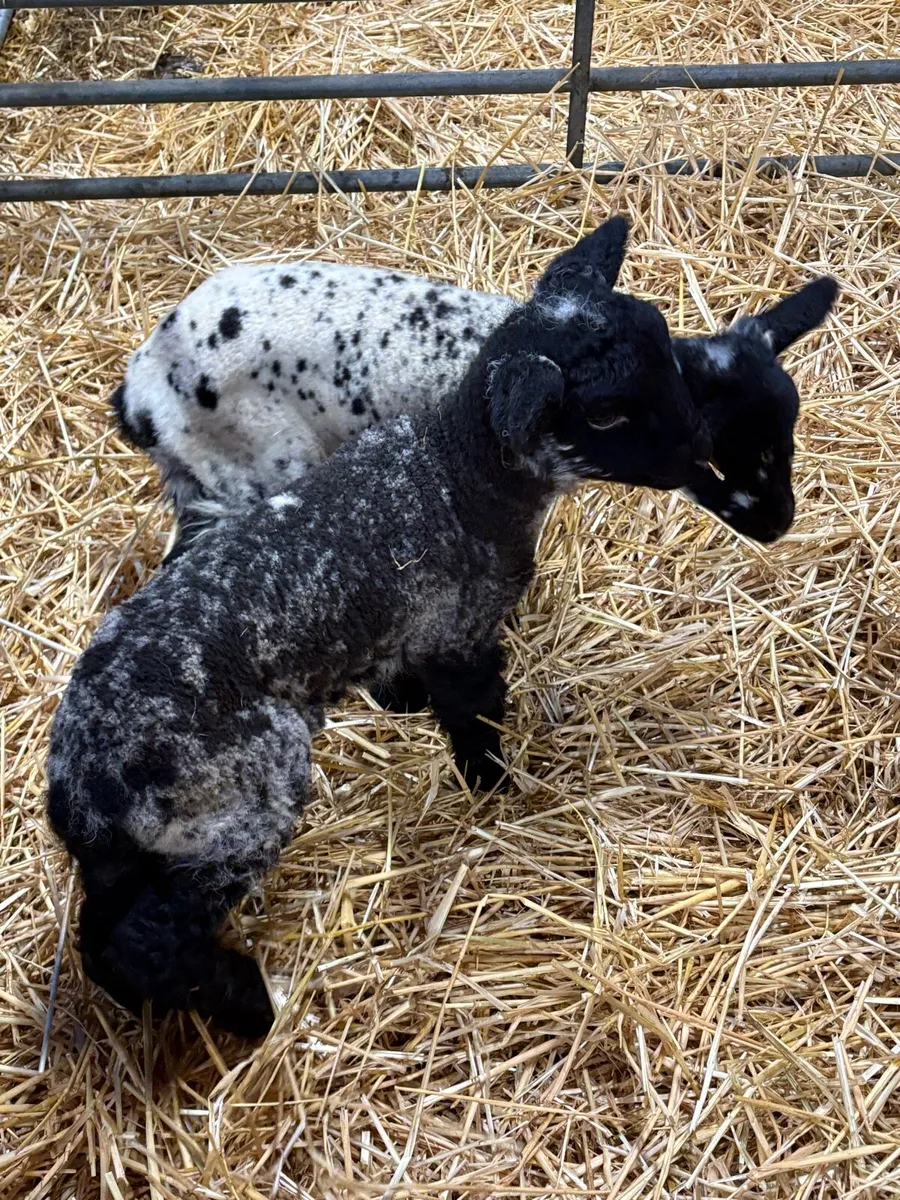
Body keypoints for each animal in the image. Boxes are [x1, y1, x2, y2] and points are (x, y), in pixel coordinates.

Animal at [48, 218, 712, 1037]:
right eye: (608, 412)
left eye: (665, 346)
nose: (702, 445)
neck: (456, 468)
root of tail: (83, 788)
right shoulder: (457, 631)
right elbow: (473, 713)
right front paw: (495, 791)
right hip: (239, 793)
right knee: (148, 938)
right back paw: (249, 1007)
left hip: (130, 855)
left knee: (103, 938)